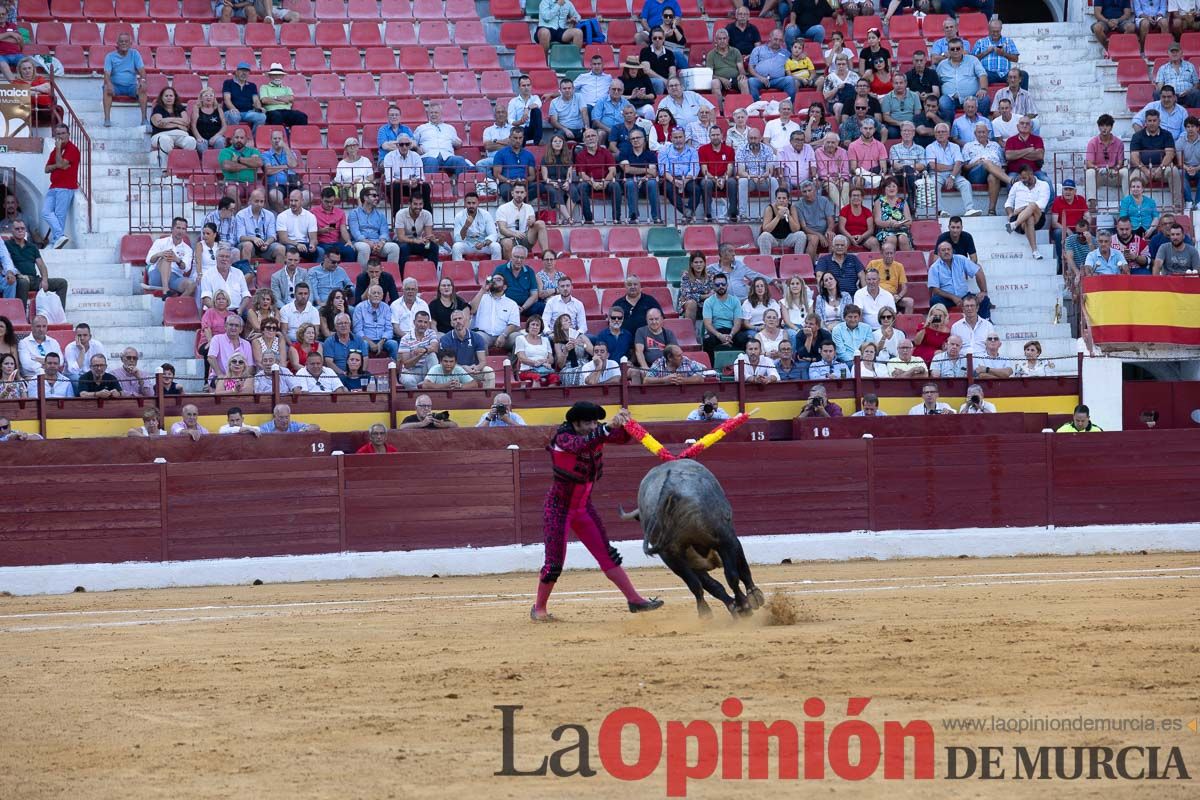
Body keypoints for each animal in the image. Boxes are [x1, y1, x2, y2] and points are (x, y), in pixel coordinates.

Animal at [624, 455, 763, 618]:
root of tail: (668, 489)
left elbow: (711, 584)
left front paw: (739, 604)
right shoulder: (729, 540)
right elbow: (739, 569)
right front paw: (752, 597)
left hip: (671, 556)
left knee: (697, 584)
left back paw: (708, 612)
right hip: (720, 539)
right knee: (730, 576)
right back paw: (742, 606)